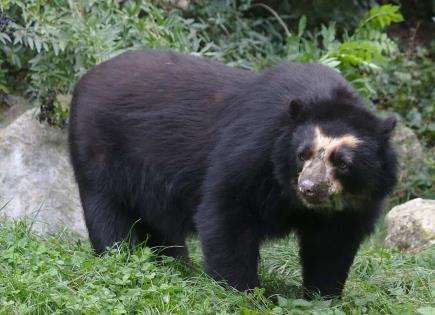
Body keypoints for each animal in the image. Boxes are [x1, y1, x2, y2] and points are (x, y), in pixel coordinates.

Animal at [68, 49, 398, 298]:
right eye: (302, 154)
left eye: (342, 163)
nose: (309, 187)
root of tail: (86, 77)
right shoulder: (252, 151)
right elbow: (227, 213)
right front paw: (241, 292)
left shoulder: (354, 203)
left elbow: (333, 244)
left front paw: (323, 297)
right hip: (99, 152)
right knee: (108, 212)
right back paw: (121, 257)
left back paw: (175, 263)